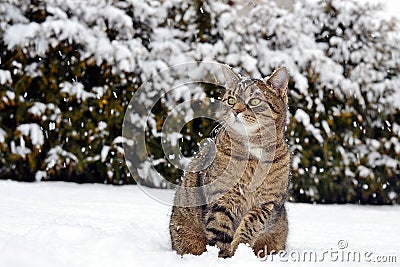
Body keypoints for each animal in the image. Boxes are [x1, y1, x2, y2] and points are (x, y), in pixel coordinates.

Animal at [169, 63, 290, 258]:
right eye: (231, 100)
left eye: (255, 101)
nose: (236, 110)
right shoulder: (221, 199)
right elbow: (220, 230)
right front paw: (225, 257)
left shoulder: (268, 203)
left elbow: (251, 223)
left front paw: (240, 249)